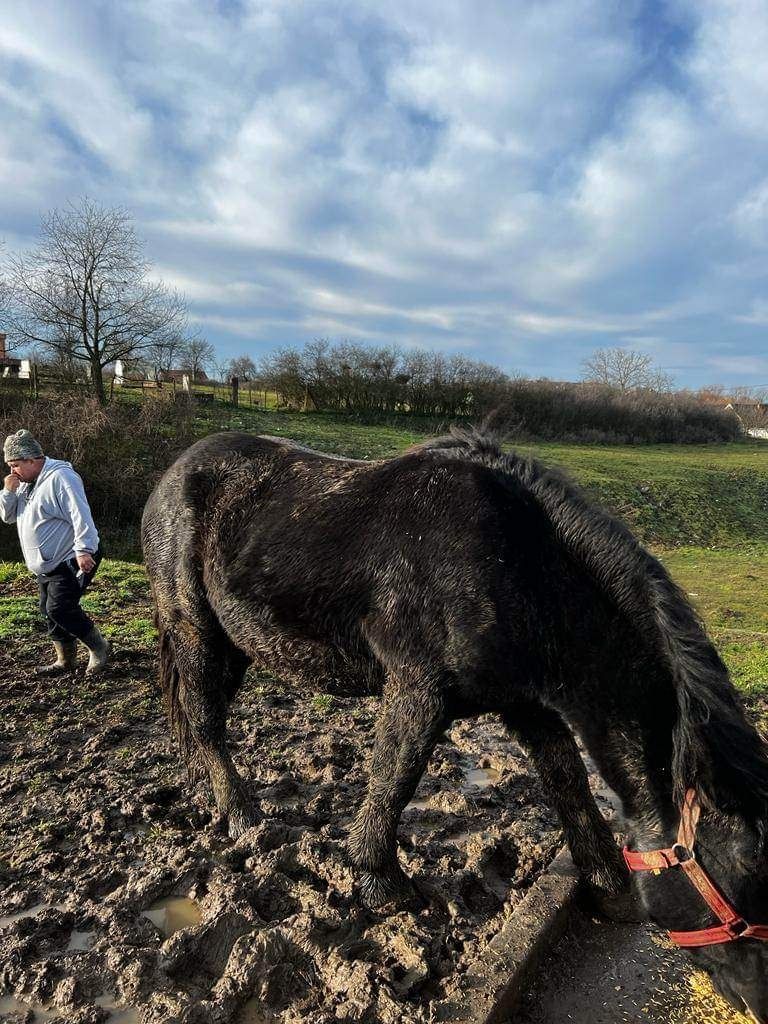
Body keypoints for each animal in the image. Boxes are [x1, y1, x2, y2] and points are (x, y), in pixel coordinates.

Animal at [143, 428, 768, 1019]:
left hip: (236, 644)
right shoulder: (419, 689)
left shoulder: (527, 704)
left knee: (202, 722)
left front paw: (609, 888)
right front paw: (383, 887)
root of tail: (173, 473)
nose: (758, 1001)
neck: (514, 563)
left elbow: (568, 783)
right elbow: (395, 776)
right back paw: (241, 816)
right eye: (749, 862)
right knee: (204, 721)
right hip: (196, 629)